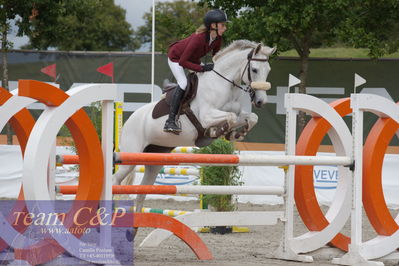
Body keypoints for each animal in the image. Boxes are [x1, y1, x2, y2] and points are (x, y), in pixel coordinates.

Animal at [111, 39, 276, 239]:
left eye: (268, 69)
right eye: (254, 69)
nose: (261, 101)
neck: (226, 85)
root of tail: (131, 119)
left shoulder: (240, 113)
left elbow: (250, 118)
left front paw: (236, 133)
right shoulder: (206, 116)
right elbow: (229, 118)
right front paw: (216, 132)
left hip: (154, 161)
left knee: (141, 192)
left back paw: (133, 230)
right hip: (130, 157)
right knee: (115, 181)